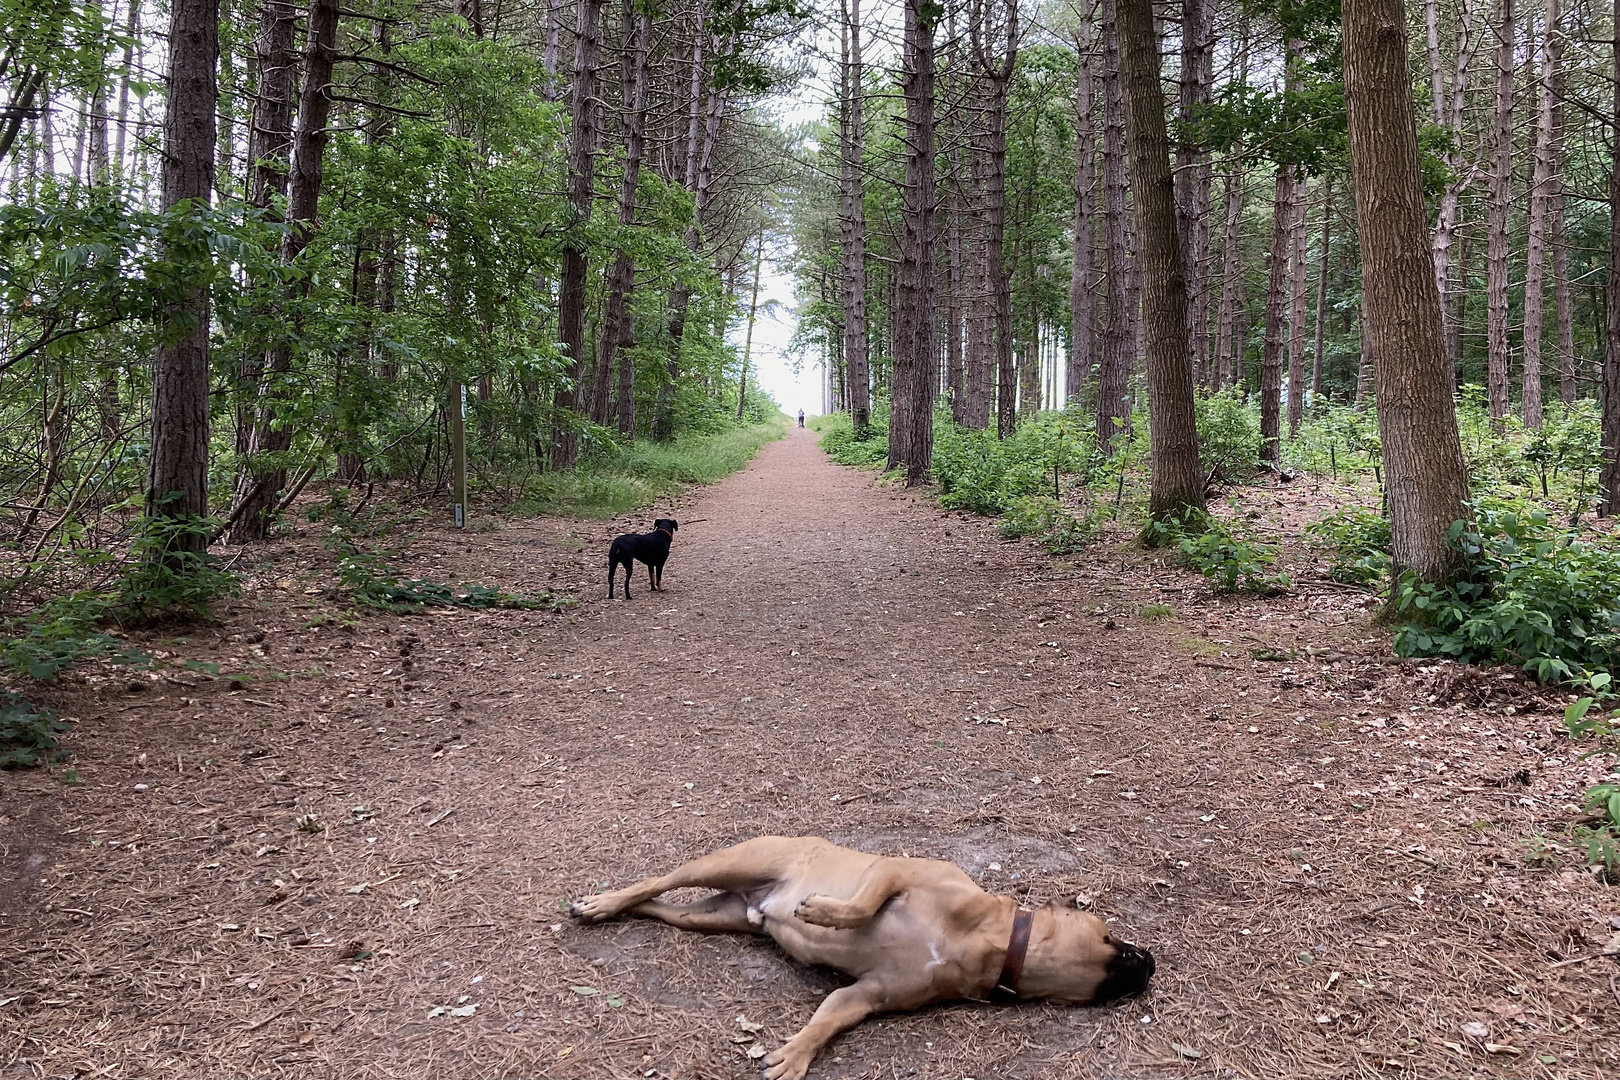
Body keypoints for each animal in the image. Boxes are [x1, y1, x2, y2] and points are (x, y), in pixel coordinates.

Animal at [570, 835, 1153, 1080]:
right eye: (1111, 939)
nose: (1149, 961)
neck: (990, 943)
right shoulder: (896, 871)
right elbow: (863, 905)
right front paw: (825, 913)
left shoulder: (866, 994)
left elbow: (828, 1019)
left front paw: (796, 1053)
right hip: (730, 862)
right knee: (658, 879)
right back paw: (603, 901)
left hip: (710, 917)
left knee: (658, 905)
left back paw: (612, 908)